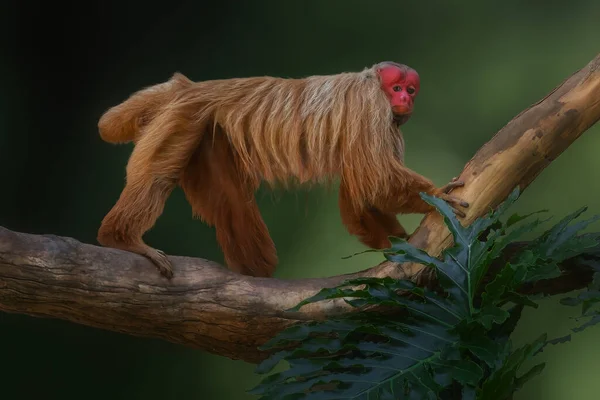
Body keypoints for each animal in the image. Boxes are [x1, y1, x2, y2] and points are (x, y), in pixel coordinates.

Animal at [96, 61, 468, 278]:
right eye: (397, 88)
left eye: (410, 90)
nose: (405, 100)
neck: (375, 85)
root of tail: (192, 87)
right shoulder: (371, 107)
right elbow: (374, 179)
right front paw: (435, 197)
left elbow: (361, 194)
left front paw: (398, 240)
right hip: (181, 120)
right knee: (157, 178)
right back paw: (121, 238)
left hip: (207, 133)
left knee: (231, 200)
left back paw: (252, 270)